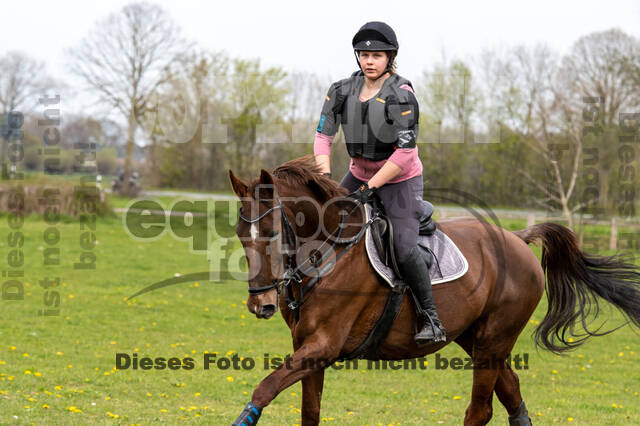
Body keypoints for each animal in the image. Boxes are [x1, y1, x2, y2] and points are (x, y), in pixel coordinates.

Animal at [228, 156, 640, 426]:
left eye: (272, 232)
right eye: (239, 233)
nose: (260, 303)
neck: (328, 252)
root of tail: (517, 239)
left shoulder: (323, 346)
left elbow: (263, 389)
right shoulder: (307, 348)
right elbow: (309, 411)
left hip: (494, 338)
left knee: (481, 409)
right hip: (475, 337)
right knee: (512, 393)